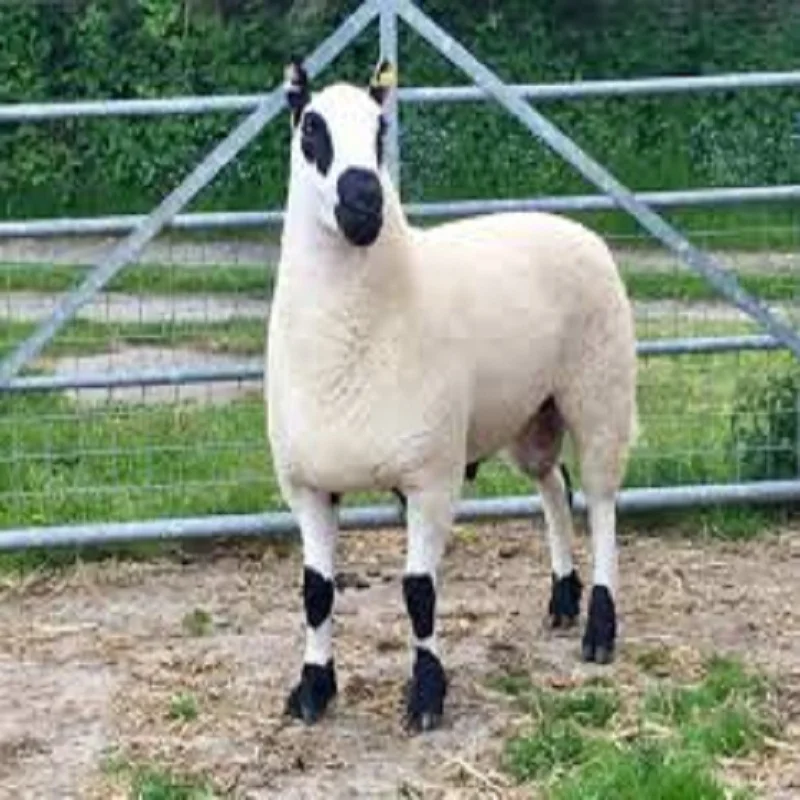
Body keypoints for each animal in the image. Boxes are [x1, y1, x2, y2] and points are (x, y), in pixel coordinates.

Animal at [266, 58, 638, 733]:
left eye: (381, 129)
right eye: (311, 129)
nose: (365, 202)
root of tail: (566, 222)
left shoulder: (430, 475)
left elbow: (419, 592)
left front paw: (427, 696)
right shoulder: (306, 484)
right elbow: (315, 592)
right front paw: (312, 689)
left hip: (600, 390)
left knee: (601, 502)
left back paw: (598, 627)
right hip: (529, 412)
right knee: (555, 485)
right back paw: (562, 597)